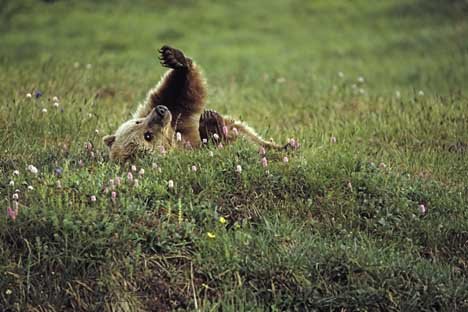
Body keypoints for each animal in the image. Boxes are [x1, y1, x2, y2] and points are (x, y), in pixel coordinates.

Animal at [104, 45, 290, 162]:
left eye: (137, 121)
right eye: (147, 136)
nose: (161, 111)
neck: (174, 137)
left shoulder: (178, 120)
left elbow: (179, 95)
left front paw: (175, 58)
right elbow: (226, 147)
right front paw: (211, 124)